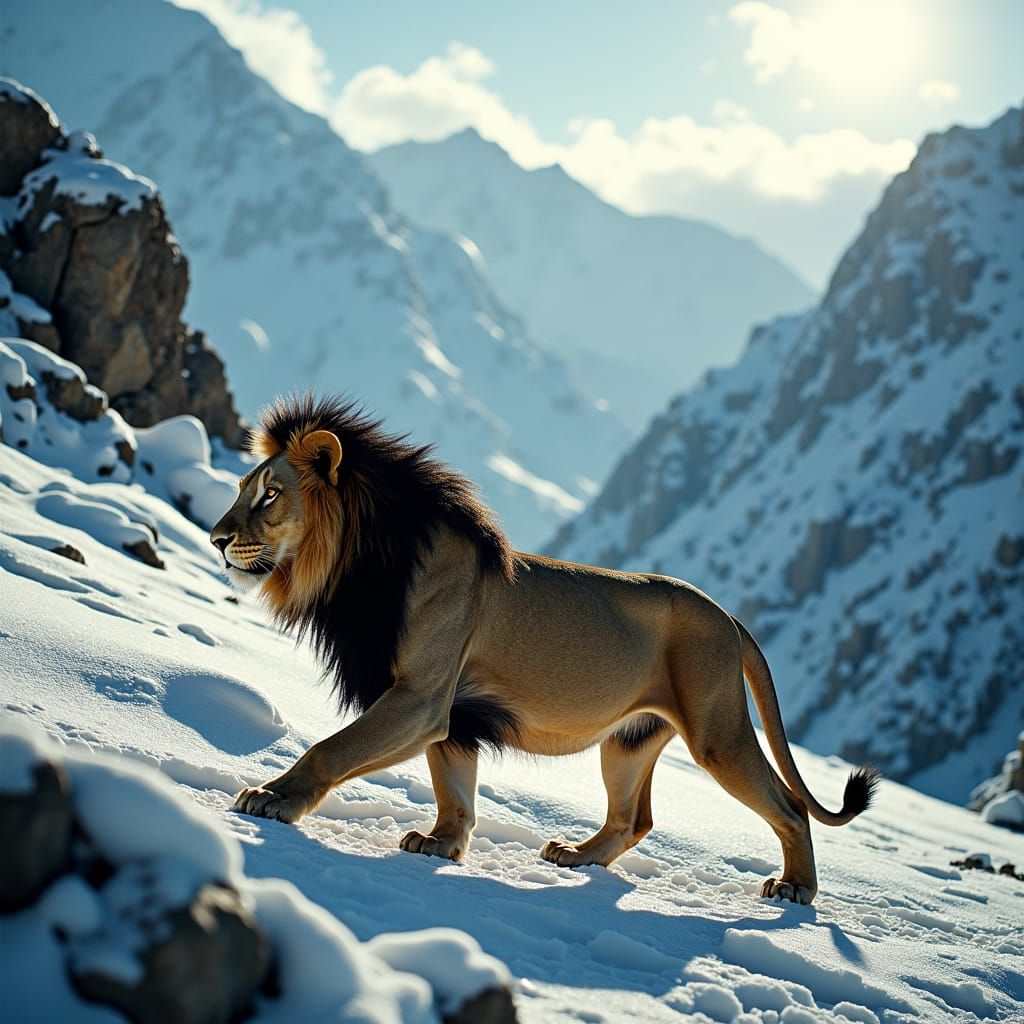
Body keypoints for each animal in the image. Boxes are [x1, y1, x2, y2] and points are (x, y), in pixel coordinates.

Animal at [210, 394, 878, 904]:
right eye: (242, 488)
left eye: (270, 495)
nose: (216, 538)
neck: (353, 569)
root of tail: (730, 616)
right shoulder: (451, 714)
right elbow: (454, 788)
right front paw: (442, 844)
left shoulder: (421, 698)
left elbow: (331, 749)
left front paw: (272, 797)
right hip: (628, 739)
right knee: (633, 818)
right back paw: (576, 854)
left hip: (718, 732)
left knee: (789, 806)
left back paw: (795, 889)